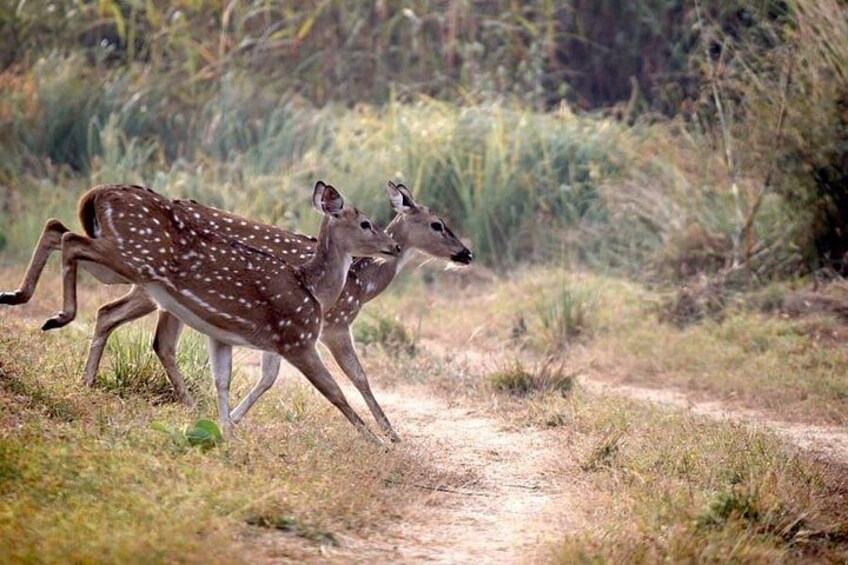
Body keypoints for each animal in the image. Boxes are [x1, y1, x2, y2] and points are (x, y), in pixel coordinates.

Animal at [1, 181, 473, 442]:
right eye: (438, 224)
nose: (466, 253)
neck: (361, 282)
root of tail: (98, 194)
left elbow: (267, 377)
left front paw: (232, 421)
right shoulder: (331, 325)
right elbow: (355, 377)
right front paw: (389, 434)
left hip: (141, 281)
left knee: (96, 290)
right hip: (140, 273)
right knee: (106, 290)